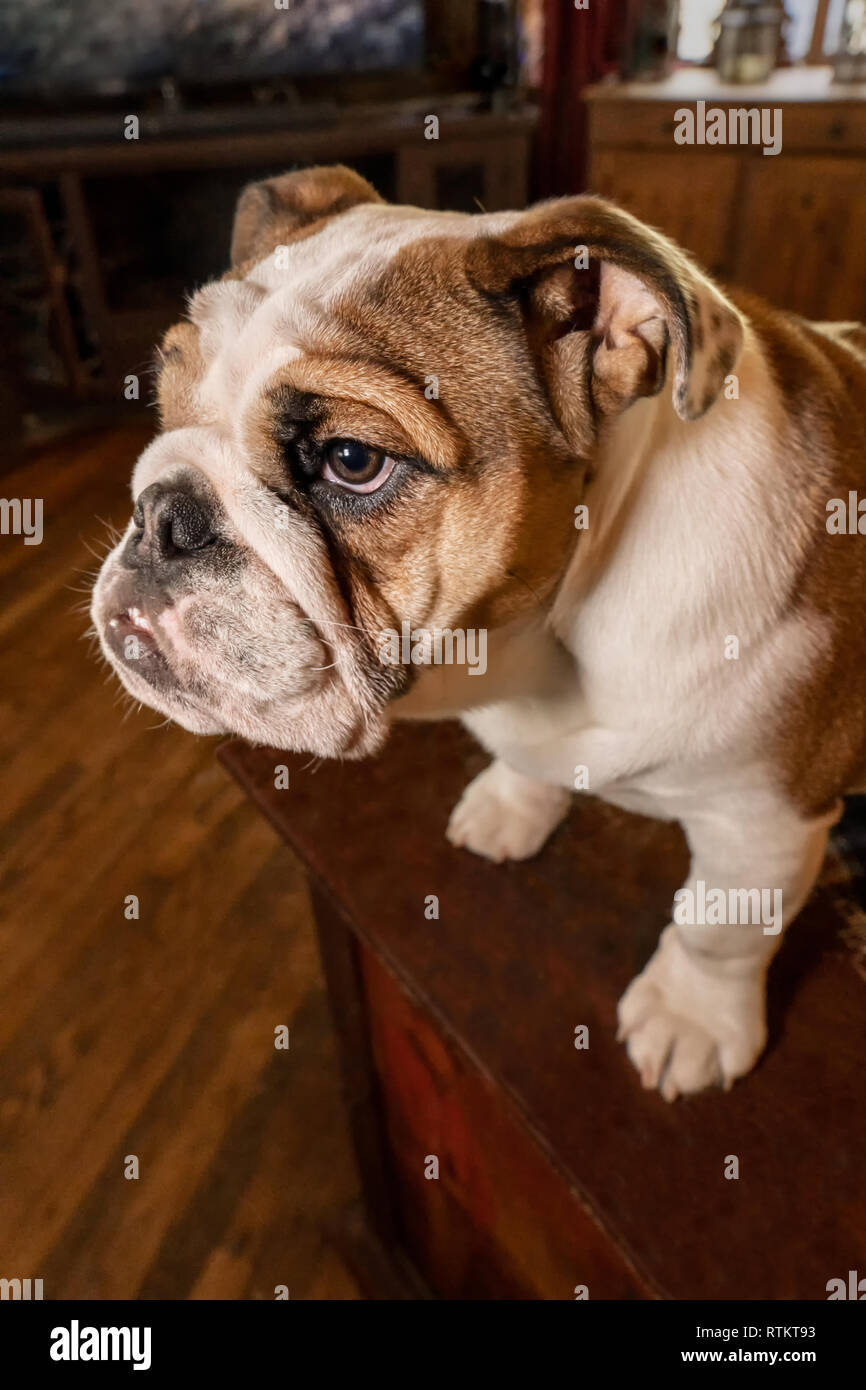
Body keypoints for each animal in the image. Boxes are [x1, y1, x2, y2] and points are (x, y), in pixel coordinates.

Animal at [91, 165, 866, 1095]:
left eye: (353, 461)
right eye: (165, 404)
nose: (162, 515)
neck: (542, 643)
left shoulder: (764, 820)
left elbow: (720, 928)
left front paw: (692, 1018)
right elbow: (526, 763)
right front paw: (512, 804)